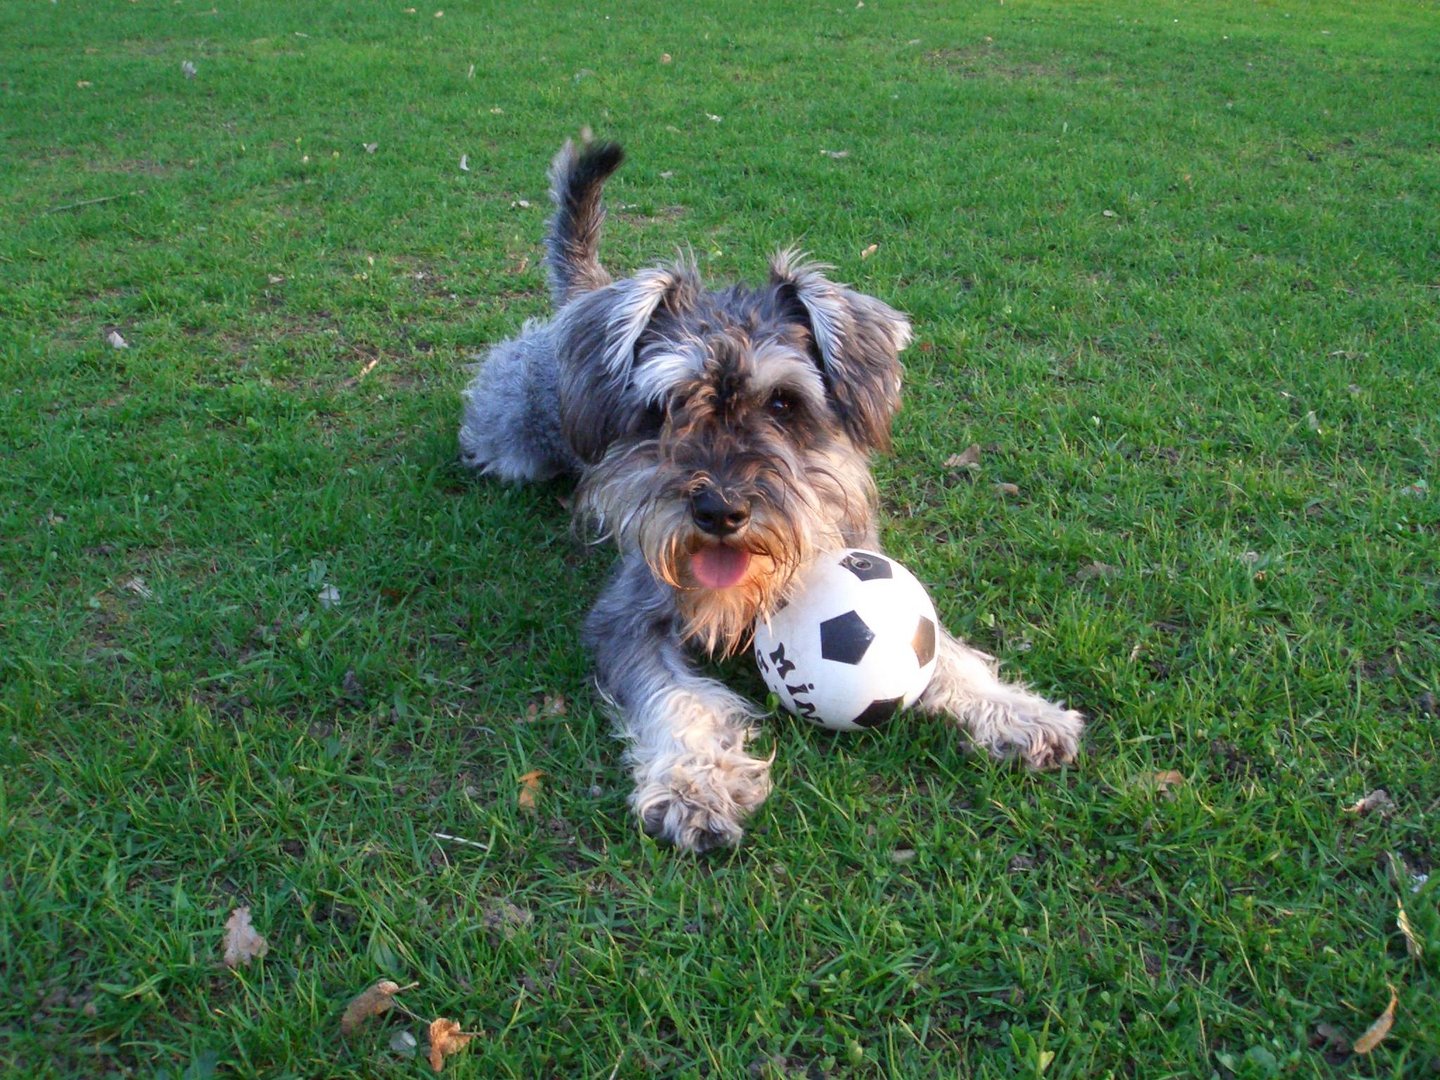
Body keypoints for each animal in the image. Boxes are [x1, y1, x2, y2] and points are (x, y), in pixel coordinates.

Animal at [460, 137, 1082, 852]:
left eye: (784, 403)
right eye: (666, 406)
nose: (719, 510)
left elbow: (943, 651)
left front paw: (1017, 711)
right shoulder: (629, 620)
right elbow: (675, 696)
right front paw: (694, 784)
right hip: (515, 436)